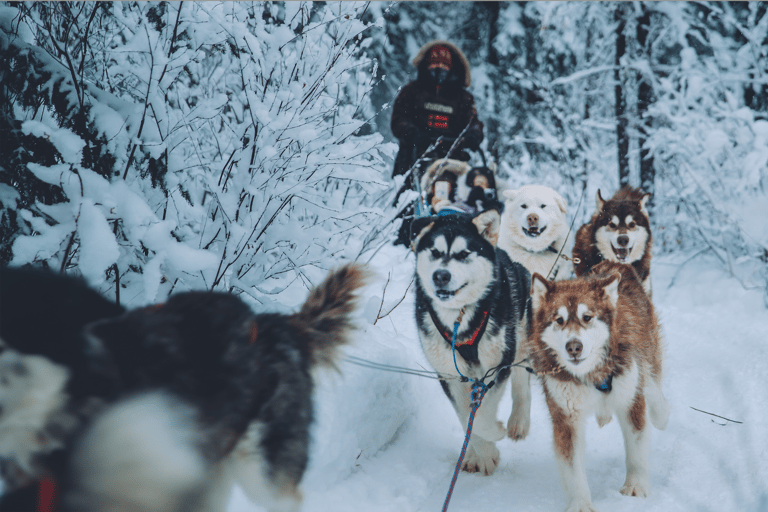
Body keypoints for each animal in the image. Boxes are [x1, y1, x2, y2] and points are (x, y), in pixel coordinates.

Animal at [412, 210, 532, 474]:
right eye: (434, 251)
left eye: (464, 254)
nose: (441, 275)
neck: (458, 318)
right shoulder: (449, 374)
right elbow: (467, 417)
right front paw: (482, 454)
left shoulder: (495, 367)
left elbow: (482, 416)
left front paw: (495, 435)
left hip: (519, 338)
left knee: (522, 377)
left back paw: (518, 421)